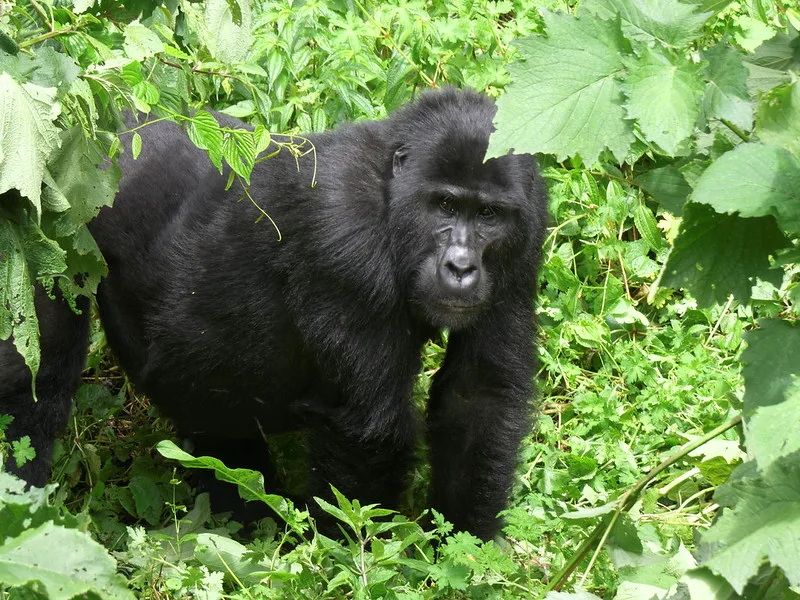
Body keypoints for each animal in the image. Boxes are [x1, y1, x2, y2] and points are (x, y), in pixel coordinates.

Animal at [0, 88, 548, 540]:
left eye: (488, 215)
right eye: (444, 206)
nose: (461, 267)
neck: (391, 192)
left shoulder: (528, 231)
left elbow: (477, 397)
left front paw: (463, 550)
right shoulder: (344, 234)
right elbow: (369, 431)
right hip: (39, 214)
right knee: (35, 386)